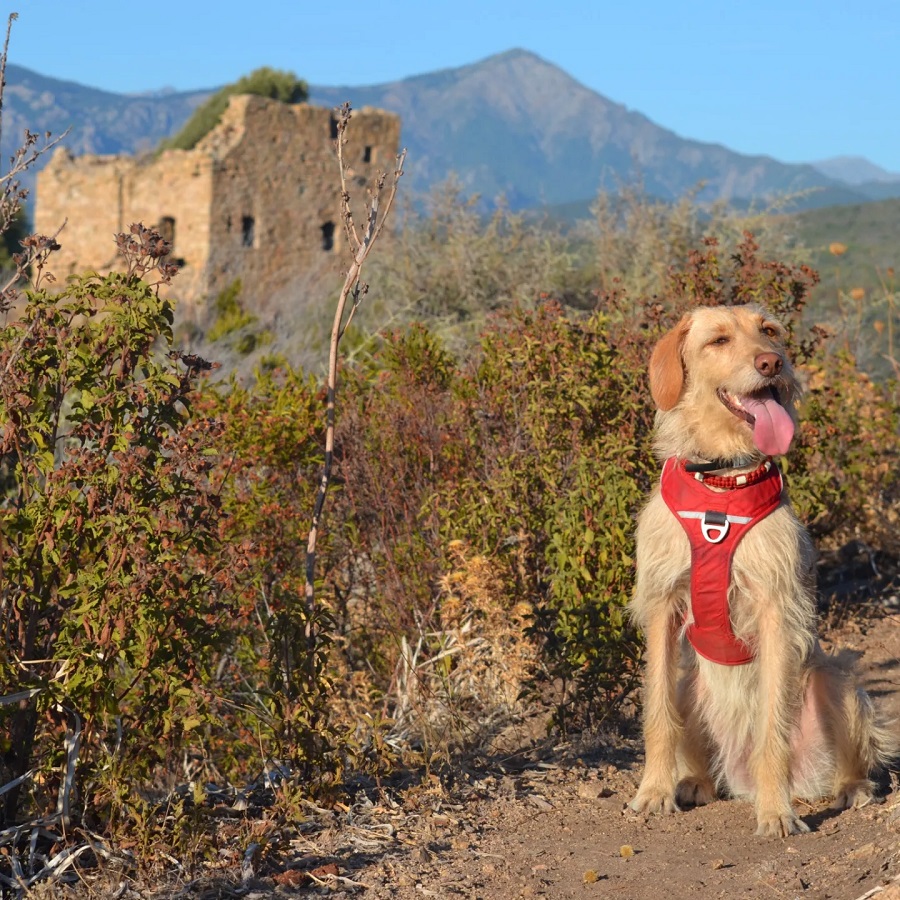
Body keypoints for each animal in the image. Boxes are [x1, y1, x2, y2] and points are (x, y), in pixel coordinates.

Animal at [624, 302, 892, 836]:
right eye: (719, 340)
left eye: (769, 331)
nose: (772, 363)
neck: (722, 481)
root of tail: (739, 774)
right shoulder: (662, 605)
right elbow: (657, 715)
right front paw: (654, 791)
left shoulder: (776, 608)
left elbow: (774, 730)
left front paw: (776, 812)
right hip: (690, 686)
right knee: (695, 749)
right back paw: (694, 782)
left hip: (837, 681)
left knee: (844, 756)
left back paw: (851, 788)